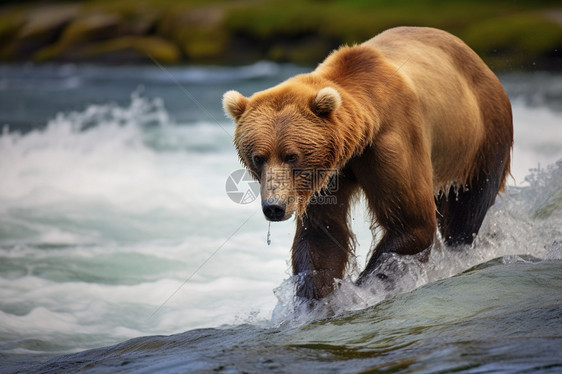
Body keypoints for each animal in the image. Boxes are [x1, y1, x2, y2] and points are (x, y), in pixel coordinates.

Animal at [221, 26, 510, 300]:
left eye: (292, 156)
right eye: (258, 157)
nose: (274, 207)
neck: (360, 138)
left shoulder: (391, 144)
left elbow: (411, 223)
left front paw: (360, 289)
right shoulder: (325, 176)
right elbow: (321, 236)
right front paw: (316, 298)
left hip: (483, 135)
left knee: (467, 210)